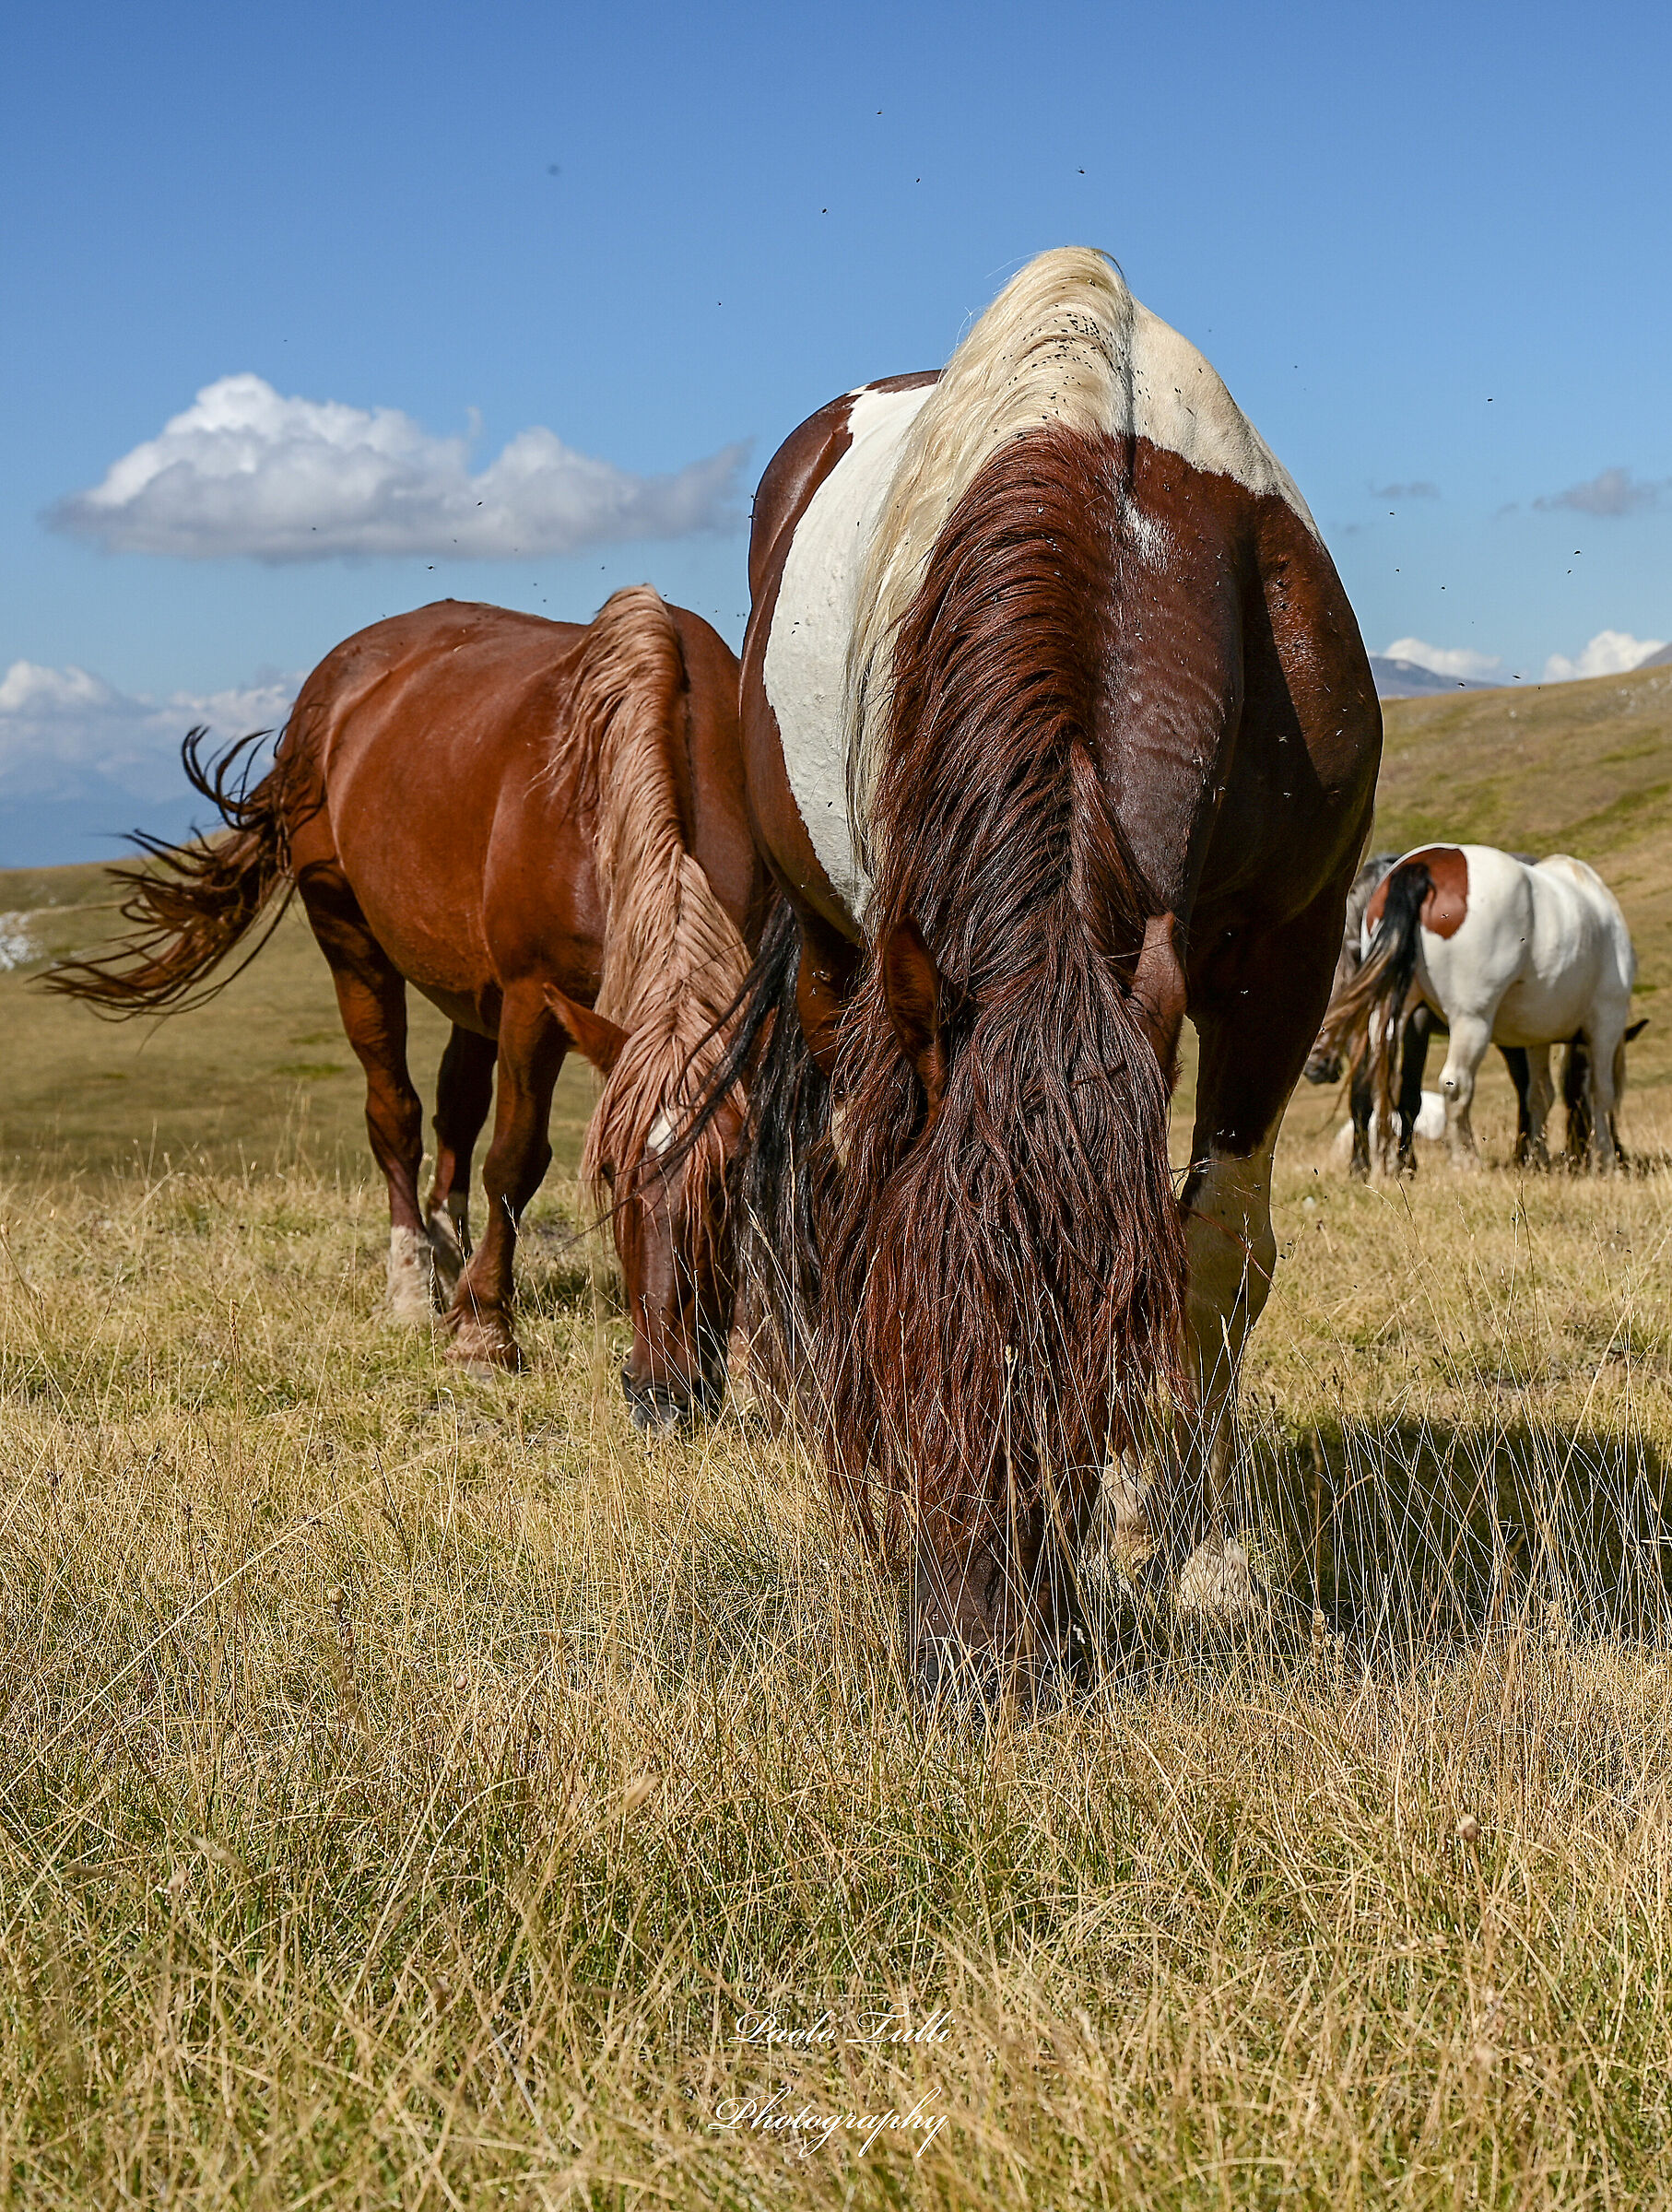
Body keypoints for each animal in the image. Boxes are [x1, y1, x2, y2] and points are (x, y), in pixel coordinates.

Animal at [49, 588, 765, 1423]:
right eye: (612, 1173)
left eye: (727, 1180)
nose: (664, 1394)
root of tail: (331, 687)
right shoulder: (532, 1000)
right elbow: (515, 1161)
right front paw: (484, 1335)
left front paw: (753, 1353)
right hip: (352, 940)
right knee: (395, 1111)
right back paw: (413, 1284)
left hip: (469, 986)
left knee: (456, 1103)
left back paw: (451, 1251)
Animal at [710, 247, 1381, 1690]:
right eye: (910, 1325)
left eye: (1102, 1336)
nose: (977, 1663)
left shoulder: (1287, 953)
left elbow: (1216, 1258)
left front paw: (1201, 1556)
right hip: (835, 952)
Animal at [1317, 843, 1639, 1172]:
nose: (1620, 1154)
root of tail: (1422, 867)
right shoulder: (1605, 1024)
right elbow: (1601, 1092)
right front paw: (1606, 1160)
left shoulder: (1538, 1035)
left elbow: (1539, 1094)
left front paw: (1539, 1156)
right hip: (1470, 1020)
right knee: (1455, 1084)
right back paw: (1466, 1160)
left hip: (1391, 1013)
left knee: (1381, 1080)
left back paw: (1386, 1163)